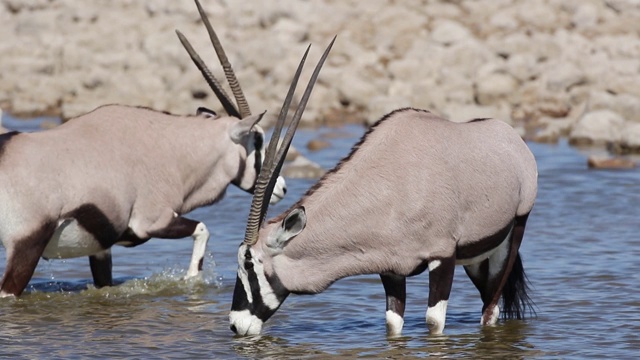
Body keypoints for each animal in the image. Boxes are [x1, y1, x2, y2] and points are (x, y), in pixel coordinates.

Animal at [0, 0, 286, 296]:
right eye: (257, 141)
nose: (282, 188)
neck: (172, 149)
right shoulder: (152, 221)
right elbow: (203, 229)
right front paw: (191, 279)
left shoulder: (101, 247)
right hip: (27, 247)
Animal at [231, 107, 540, 334]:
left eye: (249, 263)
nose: (235, 325)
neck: (389, 187)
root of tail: (513, 140)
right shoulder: (391, 268)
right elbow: (393, 322)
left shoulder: (442, 257)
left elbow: (433, 321)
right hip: (477, 259)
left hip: (513, 233)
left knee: (490, 309)